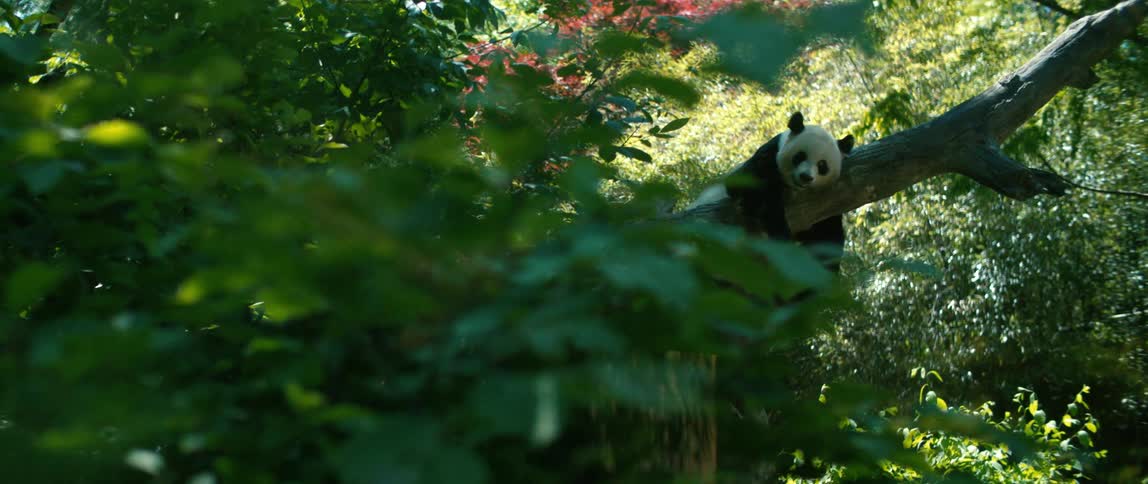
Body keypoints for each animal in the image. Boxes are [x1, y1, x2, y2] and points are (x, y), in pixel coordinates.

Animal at [686, 111, 854, 272]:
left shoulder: (825, 202)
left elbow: (826, 235)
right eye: (800, 156)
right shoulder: (767, 157)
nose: (805, 177)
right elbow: (752, 189)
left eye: (822, 165)